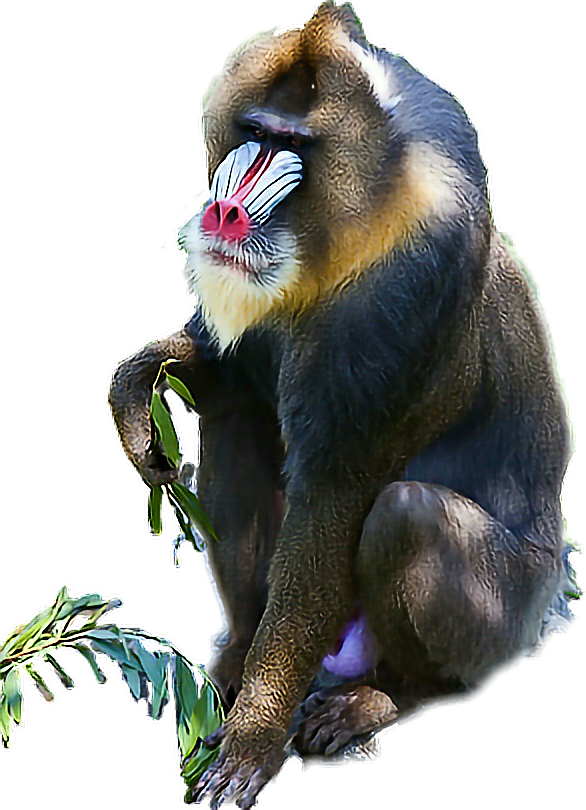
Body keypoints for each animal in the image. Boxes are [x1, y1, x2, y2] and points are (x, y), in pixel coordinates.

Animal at [108, 3, 577, 807]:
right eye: (255, 132)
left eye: (293, 146)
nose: (225, 212)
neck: (347, 226)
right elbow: (230, 382)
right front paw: (136, 392)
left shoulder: (394, 308)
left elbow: (334, 500)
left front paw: (254, 740)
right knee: (234, 424)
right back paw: (233, 656)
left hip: (497, 620)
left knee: (407, 516)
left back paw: (381, 699)